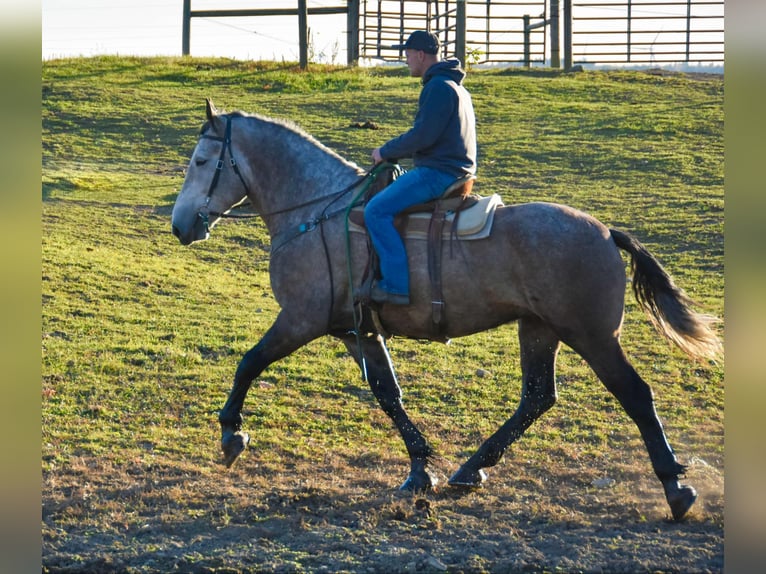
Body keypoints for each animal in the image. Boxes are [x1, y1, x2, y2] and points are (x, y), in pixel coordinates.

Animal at [171, 99, 721, 521]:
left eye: (200, 161)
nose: (181, 225)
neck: (318, 212)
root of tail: (606, 232)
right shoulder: (356, 331)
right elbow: (387, 393)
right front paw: (420, 469)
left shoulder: (300, 320)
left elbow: (249, 363)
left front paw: (231, 433)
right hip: (539, 329)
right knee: (537, 398)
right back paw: (471, 467)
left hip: (592, 336)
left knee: (636, 396)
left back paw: (675, 488)